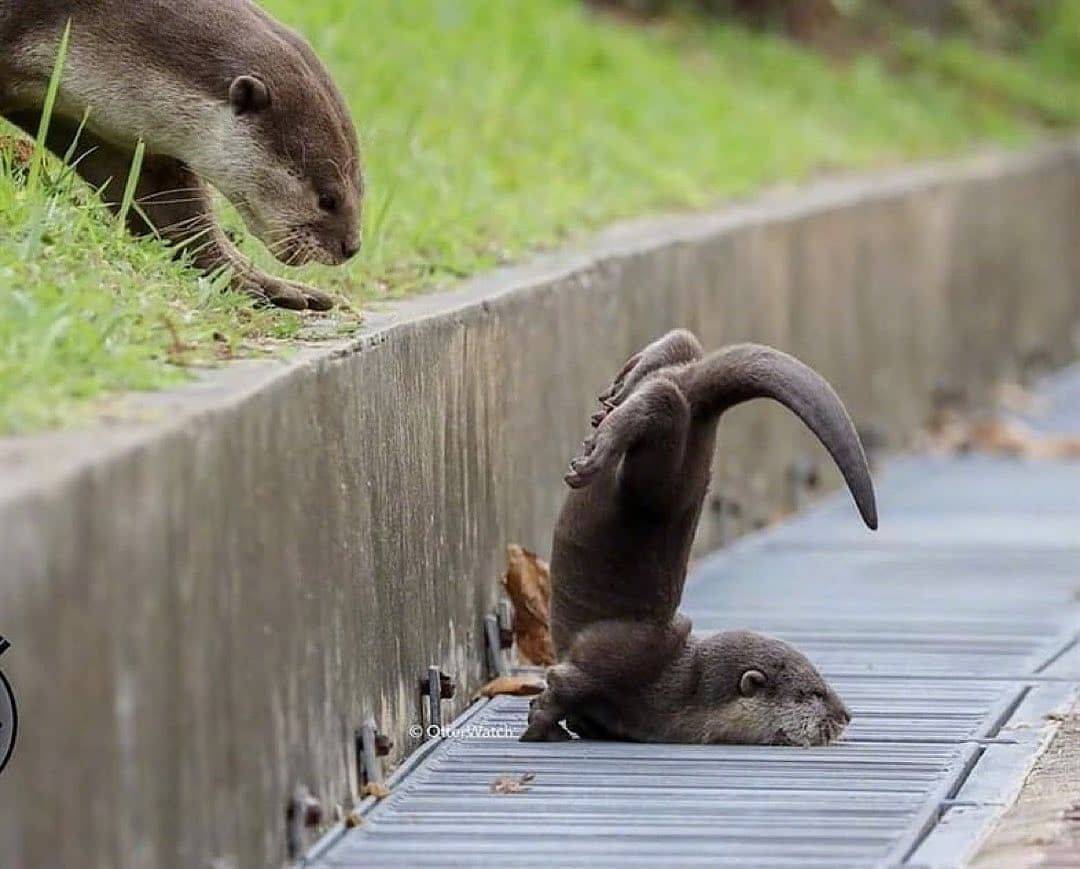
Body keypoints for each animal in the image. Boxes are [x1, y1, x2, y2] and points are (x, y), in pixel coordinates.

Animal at [0, 0, 365, 310]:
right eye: (328, 200)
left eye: (362, 191)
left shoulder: (113, 132)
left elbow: (168, 209)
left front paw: (256, 280)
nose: (351, 248)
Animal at [522, 328, 876, 742]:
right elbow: (562, 687)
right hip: (658, 481)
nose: (847, 714)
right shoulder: (615, 663)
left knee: (680, 356)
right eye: (813, 692)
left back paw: (623, 385)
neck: (676, 690)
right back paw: (599, 446)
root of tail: (705, 408)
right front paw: (544, 728)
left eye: (825, 681)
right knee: (665, 402)